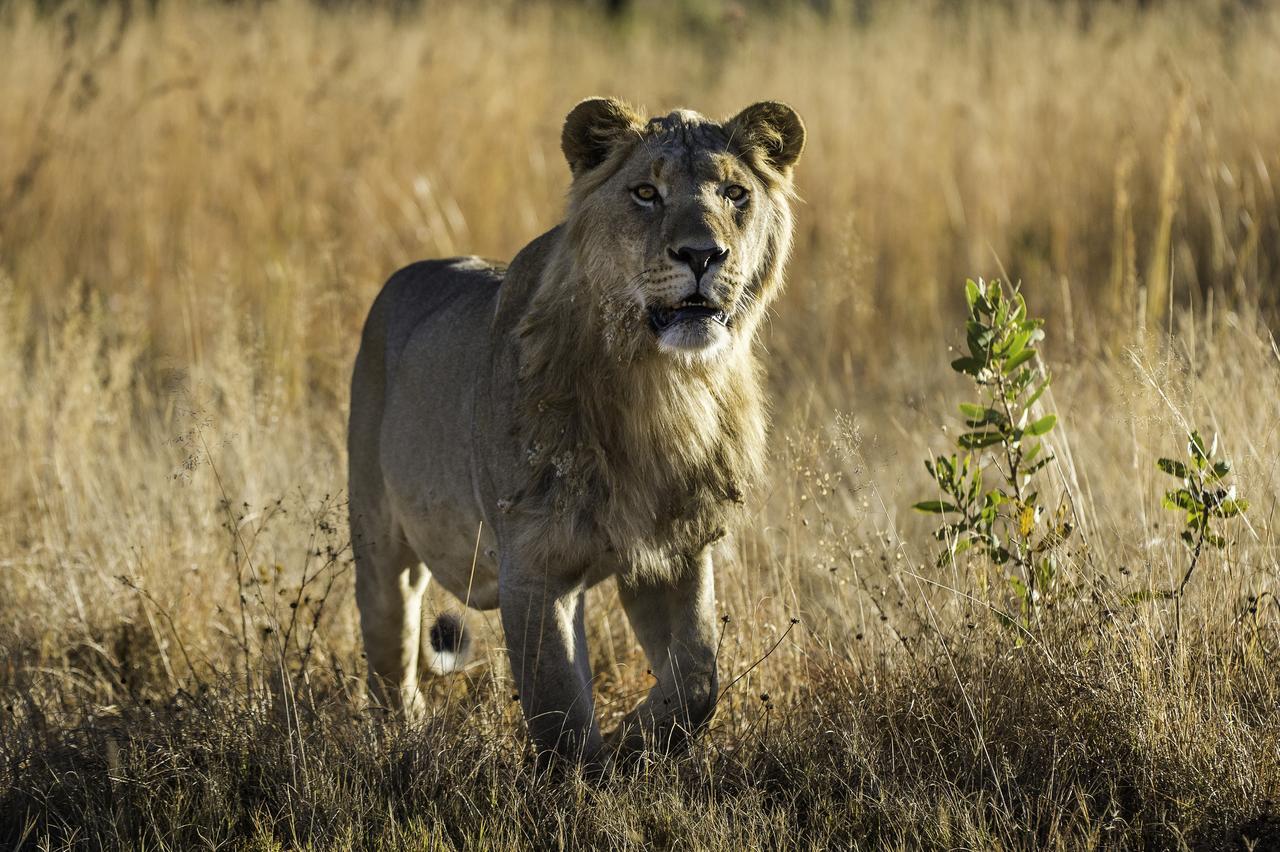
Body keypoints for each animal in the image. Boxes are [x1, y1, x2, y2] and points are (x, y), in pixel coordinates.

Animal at [348, 95, 808, 767]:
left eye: (734, 193)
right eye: (645, 192)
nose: (702, 255)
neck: (660, 385)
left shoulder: (673, 550)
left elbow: (698, 679)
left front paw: (634, 741)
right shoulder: (533, 566)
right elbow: (560, 713)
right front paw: (588, 775)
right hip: (380, 543)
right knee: (391, 656)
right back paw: (406, 738)